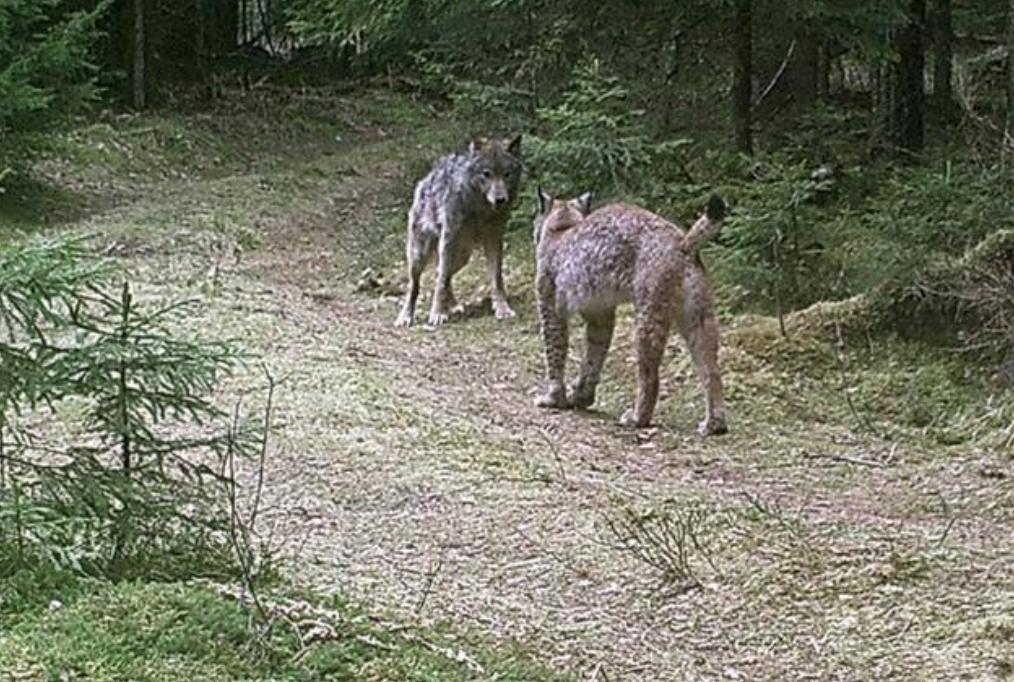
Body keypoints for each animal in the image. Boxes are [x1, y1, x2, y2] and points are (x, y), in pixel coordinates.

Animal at [395, 135, 523, 326]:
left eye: (507, 174)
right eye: (486, 174)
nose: (500, 199)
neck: (479, 208)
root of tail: (424, 180)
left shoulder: (494, 238)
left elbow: (496, 278)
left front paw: (502, 308)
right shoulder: (449, 238)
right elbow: (440, 282)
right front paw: (437, 313)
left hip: (462, 257)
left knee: (443, 274)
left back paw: (453, 305)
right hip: (420, 254)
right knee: (417, 285)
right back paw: (406, 316)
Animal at [531, 190, 730, 435]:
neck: (562, 225)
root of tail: (680, 240)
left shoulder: (550, 307)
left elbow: (555, 353)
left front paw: (553, 398)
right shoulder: (600, 314)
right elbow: (592, 357)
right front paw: (581, 397)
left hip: (649, 313)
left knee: (650, 376)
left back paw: (637, 418)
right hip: (699, 315)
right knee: (712, 371)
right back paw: (714, 423)